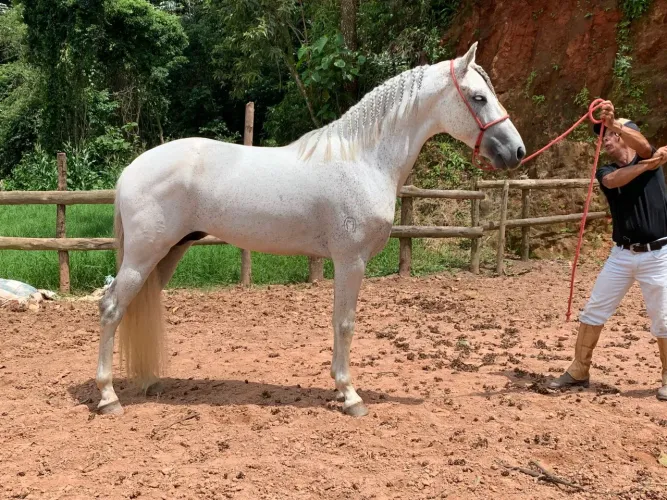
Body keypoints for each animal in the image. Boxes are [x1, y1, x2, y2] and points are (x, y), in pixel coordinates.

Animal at [96, 41, 525, 417]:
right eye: (478, 98)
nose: (517, 151)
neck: (364, 159)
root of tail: (131, 170)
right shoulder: (351, 260)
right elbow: (345, 323)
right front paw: (349, 395)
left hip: (169, 252)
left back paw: (148, 383)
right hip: (144, 256)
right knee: (111, 307)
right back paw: (108, 397)